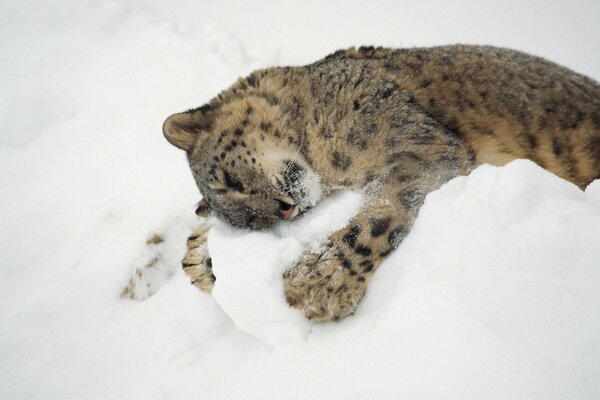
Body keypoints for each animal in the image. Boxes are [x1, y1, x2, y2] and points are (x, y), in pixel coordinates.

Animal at [162, 45, 596, 322]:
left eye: (230, 179)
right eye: (252, 223)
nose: (282, 210)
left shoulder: (420, 147)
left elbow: (381, 212)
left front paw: (318, 282)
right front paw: (201, 258)